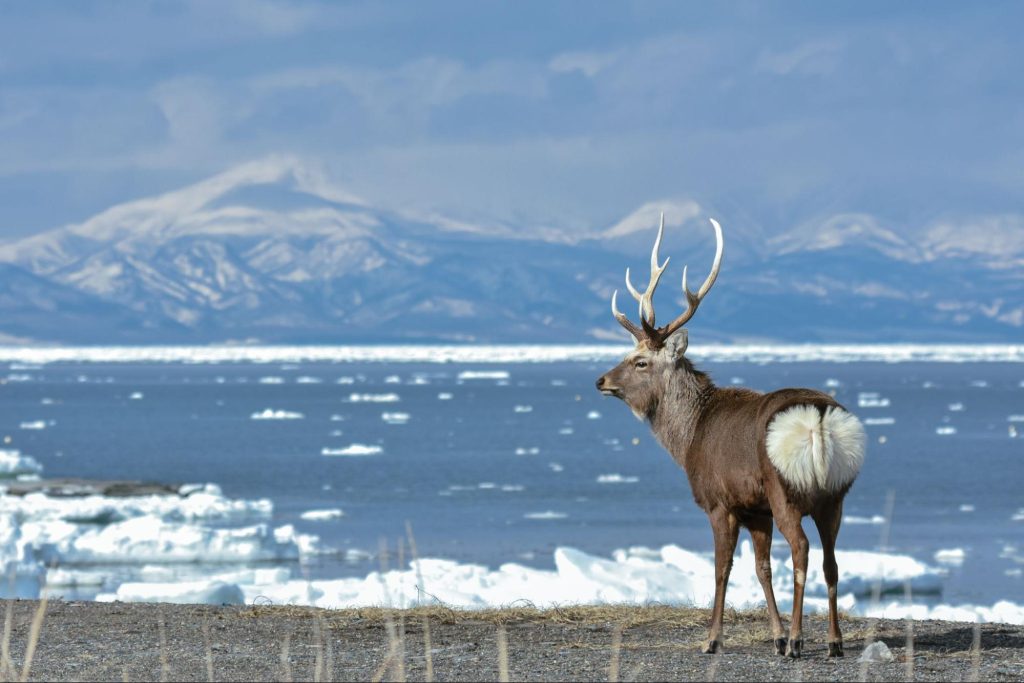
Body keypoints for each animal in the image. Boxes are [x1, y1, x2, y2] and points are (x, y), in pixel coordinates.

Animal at [593, 214, 864, 655]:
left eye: (640, 361)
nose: (601, 380)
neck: (688, 436)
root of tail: (818, 422)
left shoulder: (719, 500)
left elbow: (722, 569)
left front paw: (713, 638)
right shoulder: (755, 508)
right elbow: (762, 568)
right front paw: (773, 636)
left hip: (785, 489)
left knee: (802, 551)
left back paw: (798, 640)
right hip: (835, 494)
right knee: (831, 562)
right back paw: (833, 642)